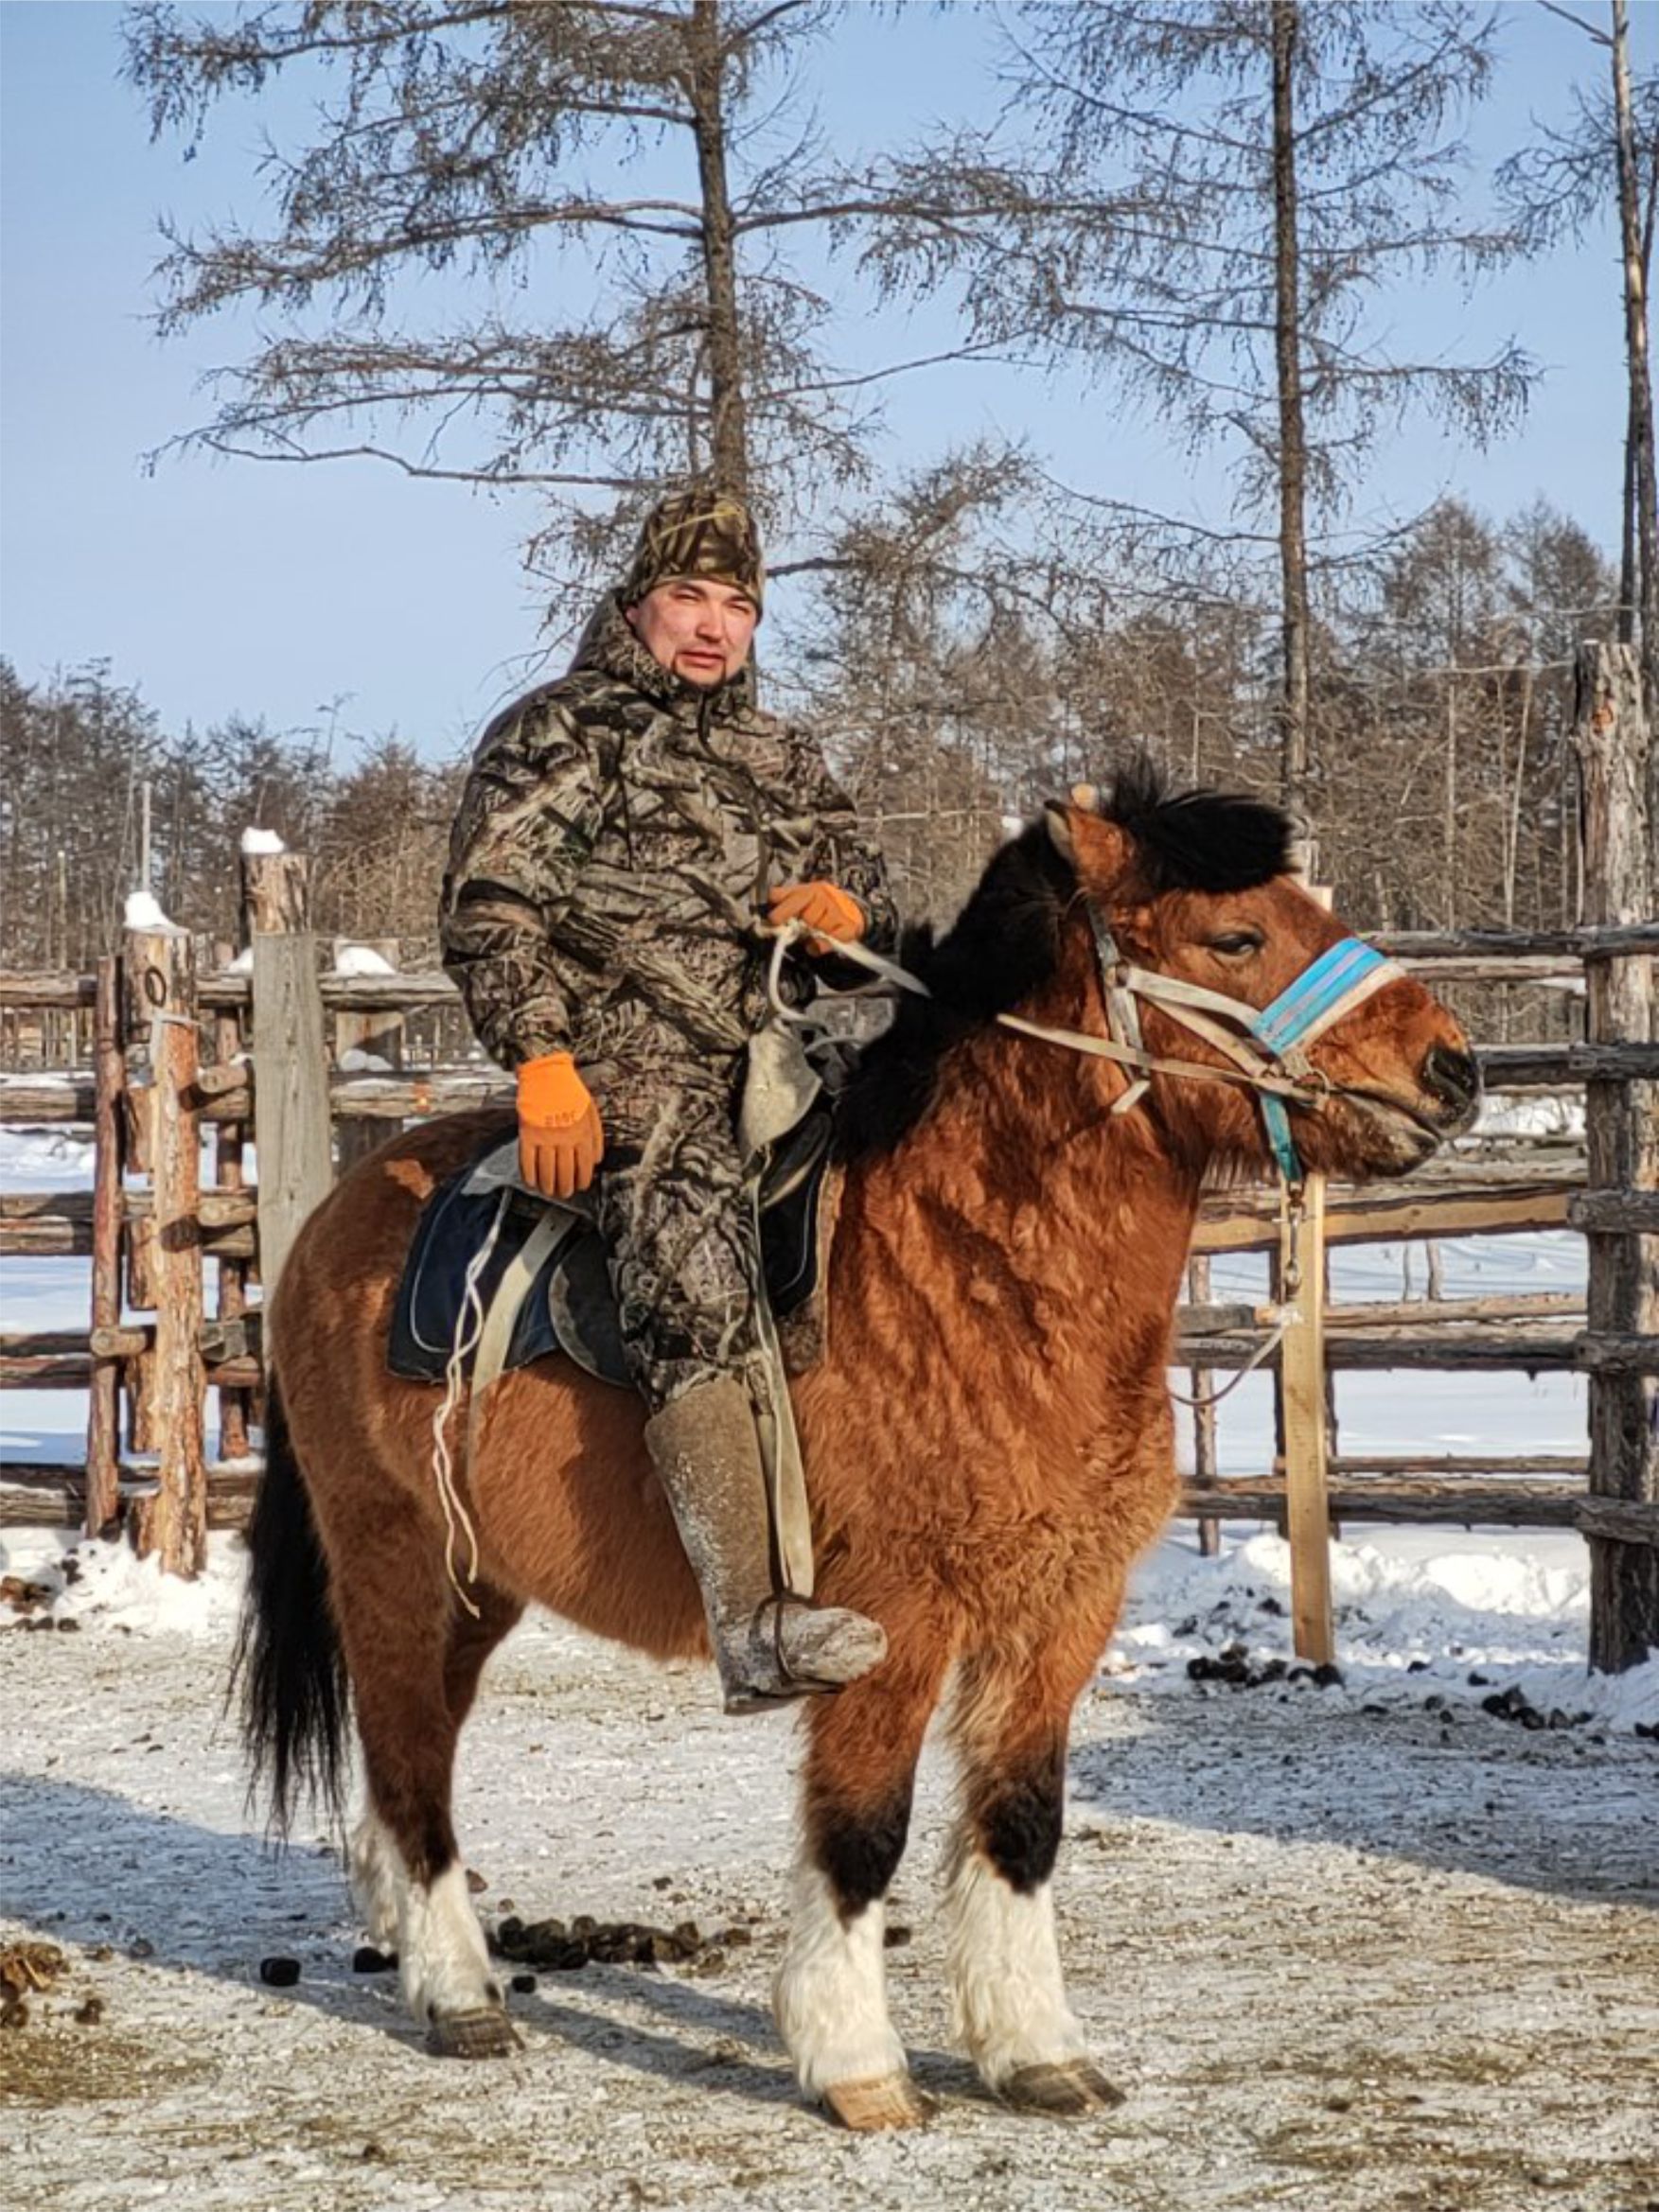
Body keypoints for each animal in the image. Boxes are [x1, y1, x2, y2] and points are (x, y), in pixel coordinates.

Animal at [243, 764, 1477, 2123]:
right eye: (1237, 936)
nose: (1453, 1067)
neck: (977, 1272)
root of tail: (331, 1221)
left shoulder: (1061, 1615)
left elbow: (1022, 1825)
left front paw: (1032, 2046)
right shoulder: (892, 1623)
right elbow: (862, 1832)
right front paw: (854, 2058)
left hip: (476, 1588)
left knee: (404, 1751)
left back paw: (408, 1939)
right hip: (392, 1560)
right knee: (412, 1759)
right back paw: (460, 1990)